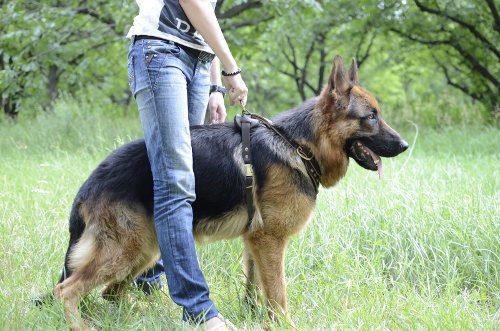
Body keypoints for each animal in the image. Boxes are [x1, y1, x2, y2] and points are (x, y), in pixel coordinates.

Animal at [46, 56, 406, 330]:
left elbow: (257, 289)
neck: (298, 144)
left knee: (110, 293)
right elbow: (279, 293)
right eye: (371, 117)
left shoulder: (255, 241)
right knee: (66, 290)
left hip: (145, 250)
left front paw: (255, 318)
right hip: (125, 250)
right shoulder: (270, 240)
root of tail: (91, 182)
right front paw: (283, 325)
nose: (404, 145)